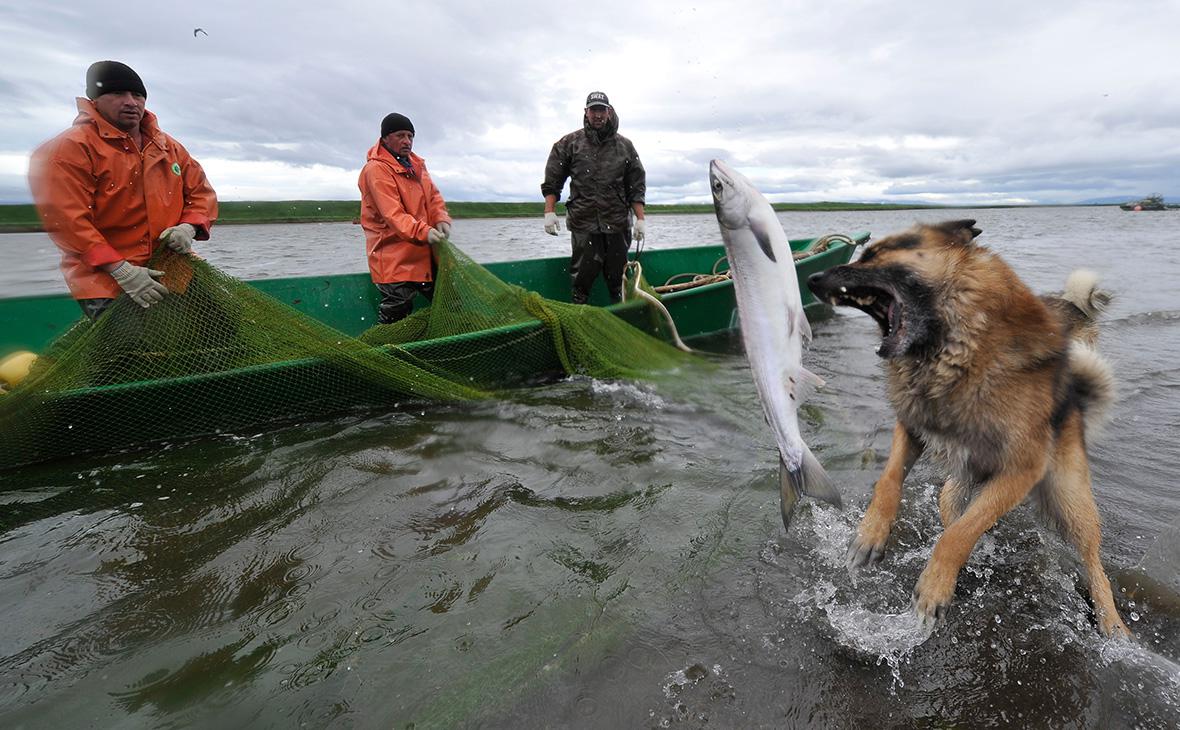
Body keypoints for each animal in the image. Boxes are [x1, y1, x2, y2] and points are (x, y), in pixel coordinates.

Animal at [807, 219, 1128, 636]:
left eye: (873, 254)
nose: (810, 278)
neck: (957, 350)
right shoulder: (912, 429)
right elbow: (891, 481)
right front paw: (869, 534)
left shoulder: (1022, 469)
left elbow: (958, 536)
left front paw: (934, 588)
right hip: (953, 491)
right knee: (961, 520)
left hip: (1071, 500)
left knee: (1092, 561)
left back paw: (1113, 625)